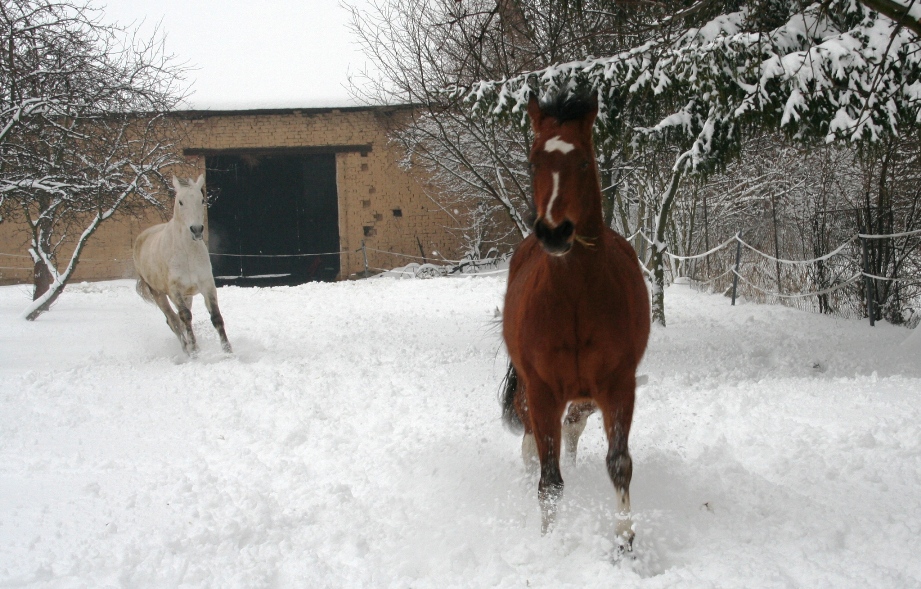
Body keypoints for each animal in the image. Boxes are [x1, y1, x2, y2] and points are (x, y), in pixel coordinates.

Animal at [133, 176, 234, 354]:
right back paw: (187, 349)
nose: (196, 230)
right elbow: (185, 317)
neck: (187, 252)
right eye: (180, 202)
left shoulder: (207, 285)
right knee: (173, 320)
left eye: (202, 200)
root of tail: (141, 237)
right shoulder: (175, 290)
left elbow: (216, 316)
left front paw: (227, 350)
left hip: (187, 295)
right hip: (159, 293)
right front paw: (194, 351)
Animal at [504, 92, 648, 548]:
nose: (555, 232)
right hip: (531, 392)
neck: (574, 302)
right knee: (533, 447)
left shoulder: (618, 385)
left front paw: (625, 540)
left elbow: (619, 462)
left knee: (574, 426)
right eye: (534, 161)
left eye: (584, 162)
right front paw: (549, 543)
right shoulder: (542, 390)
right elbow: (549, 481)